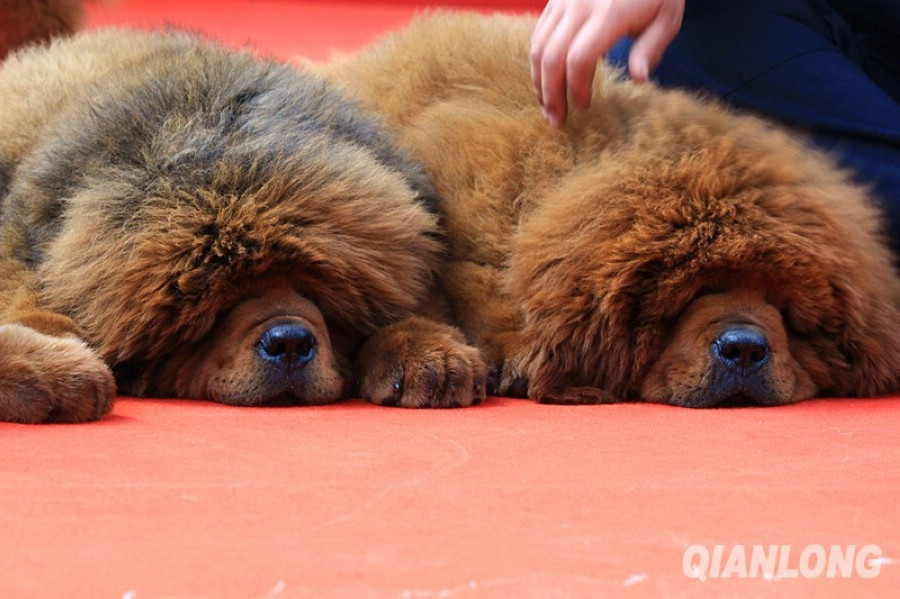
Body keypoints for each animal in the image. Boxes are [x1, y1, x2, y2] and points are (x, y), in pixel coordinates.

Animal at [0, 27, 492, 423]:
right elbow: (30, 299)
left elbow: (417, 304)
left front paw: (427, 352)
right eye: (221, 307)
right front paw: (53, 364)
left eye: (316, 296)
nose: (289, 341)